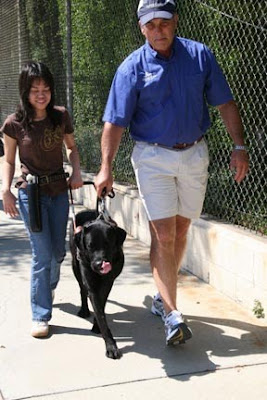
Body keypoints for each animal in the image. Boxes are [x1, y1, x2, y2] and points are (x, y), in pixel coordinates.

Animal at [69, 209, 127, 360]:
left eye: (108, 244)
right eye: (90, 246)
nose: (98, 264)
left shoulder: (108, 283)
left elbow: (101, 306)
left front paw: (97, 326)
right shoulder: (91, 285)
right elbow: (100, 313)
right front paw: (111, 346)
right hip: (75, 265)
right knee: (82, 289)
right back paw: (84, 310)